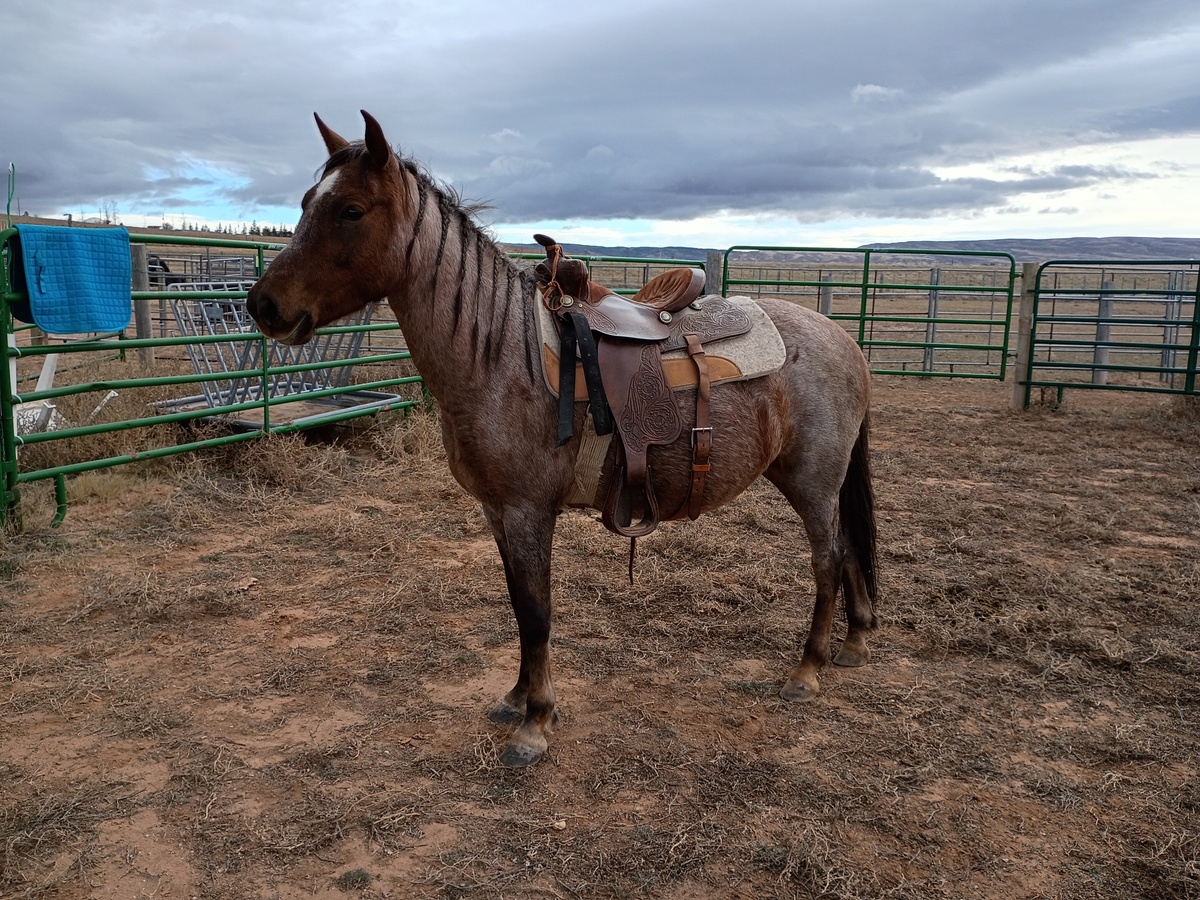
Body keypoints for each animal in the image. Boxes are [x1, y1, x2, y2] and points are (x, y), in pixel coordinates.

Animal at [246, 110, 879, 768]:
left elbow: (536, 611)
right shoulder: (499, 511)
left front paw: (535, 723)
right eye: (304, 202)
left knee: (828, 558)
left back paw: (807, 670)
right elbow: (518, 604)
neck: (500, 355)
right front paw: (516, 698)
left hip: (813, 481)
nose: (263, 305)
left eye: (350, 210)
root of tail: (844, 340)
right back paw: (855, 641)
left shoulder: (529, 511)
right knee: (848, 552)